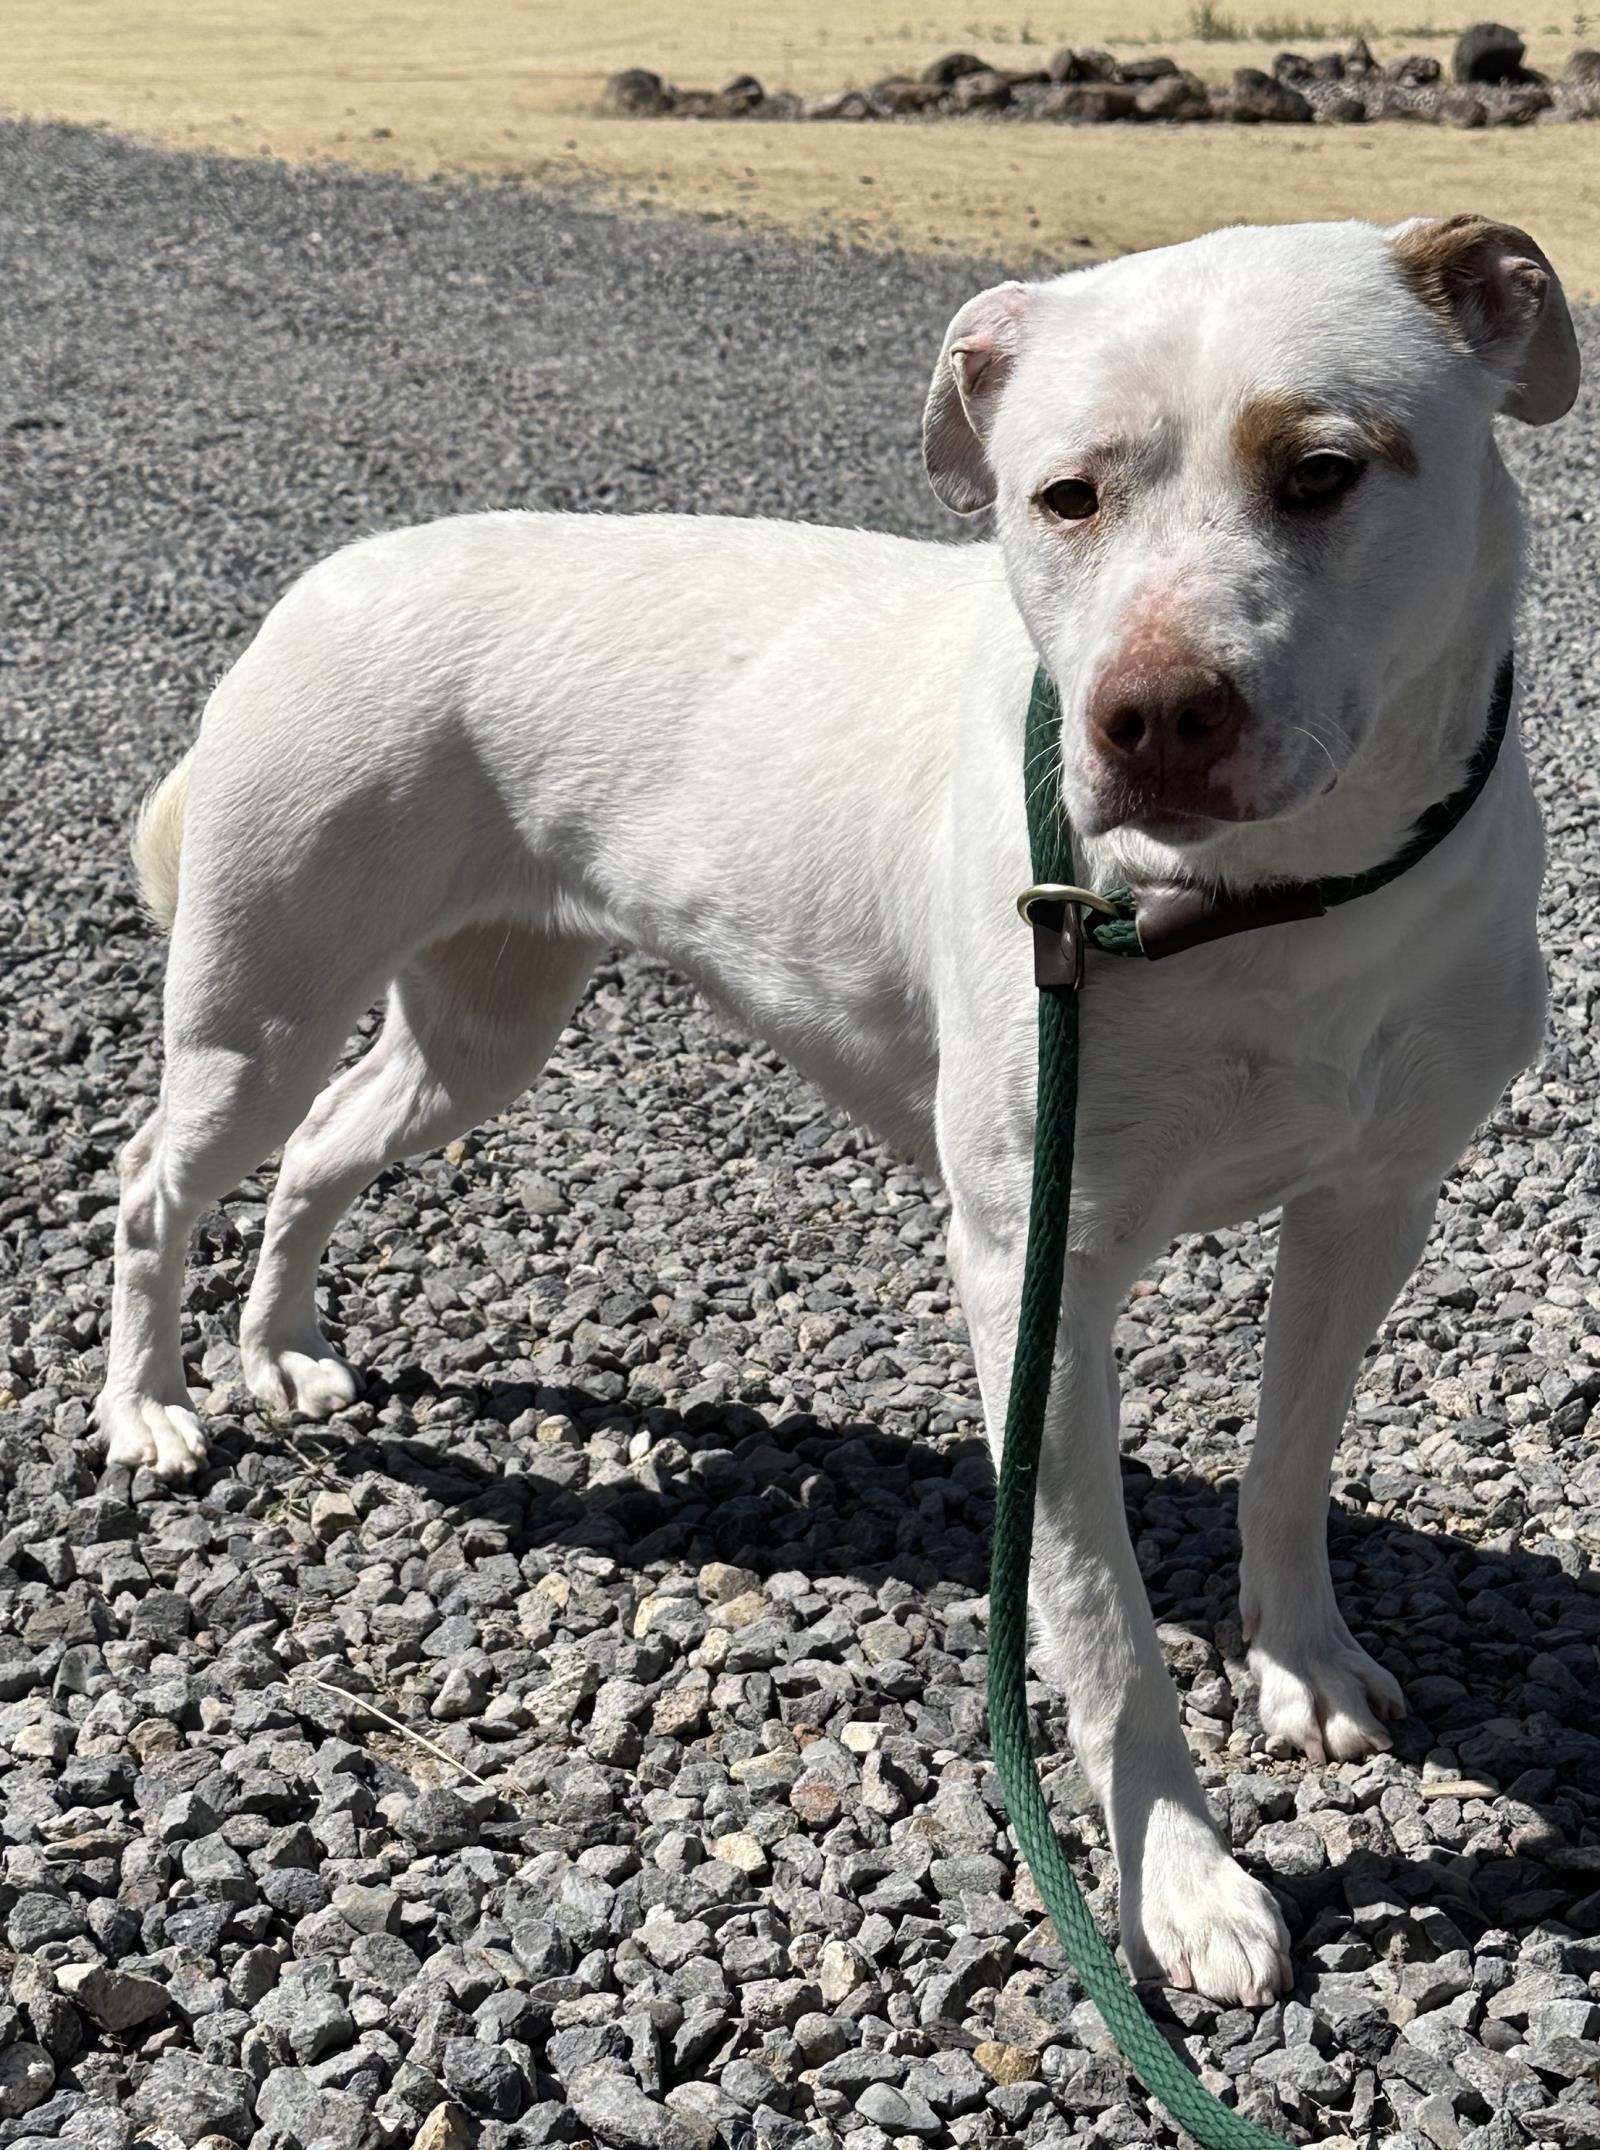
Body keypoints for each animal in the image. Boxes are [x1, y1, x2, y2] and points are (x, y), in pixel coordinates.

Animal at [100, 209, 1574, 2003]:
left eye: (1324, 471)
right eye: (1062, 495)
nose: (1150, 715)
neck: (1270, 908)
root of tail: (326, 580)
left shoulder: (1374, 1207)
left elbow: (1288, 1465)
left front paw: (1303, 1664)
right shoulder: (1035, 1264)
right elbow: (1097, 1616)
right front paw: (1183, 1882)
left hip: (477, 1033)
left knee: (320, 1156)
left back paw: (280, 1351)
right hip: (264, 1004)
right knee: (155, 1183)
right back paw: (150, 1405)